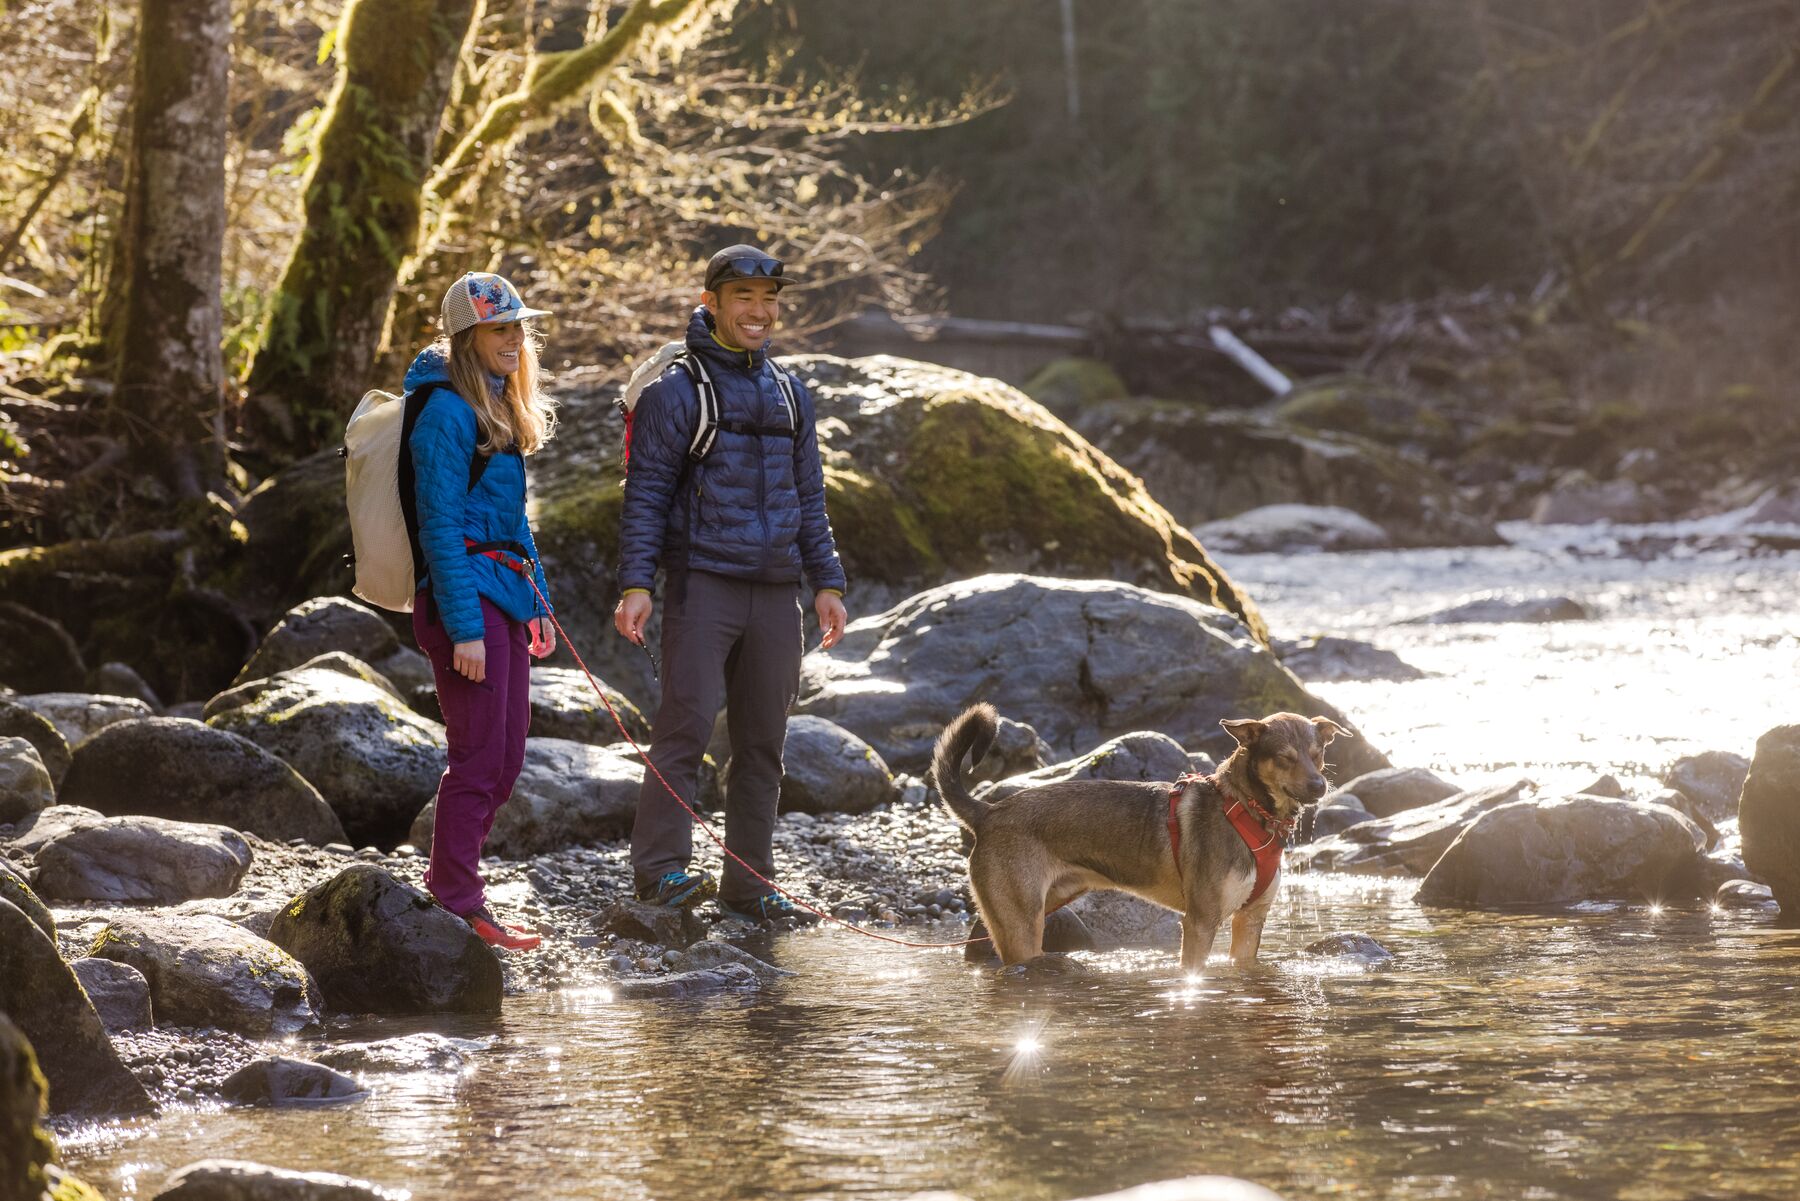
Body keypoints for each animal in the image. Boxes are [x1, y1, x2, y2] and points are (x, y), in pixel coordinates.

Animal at [936, 709, 1346, 972]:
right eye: (1284, 758)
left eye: (1318, 755)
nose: (1318, 786)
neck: (1247, 809)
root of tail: (988, 812)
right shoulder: (1200, 923)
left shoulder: (1251, 920)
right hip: (1022, 923)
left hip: (1029, 910)